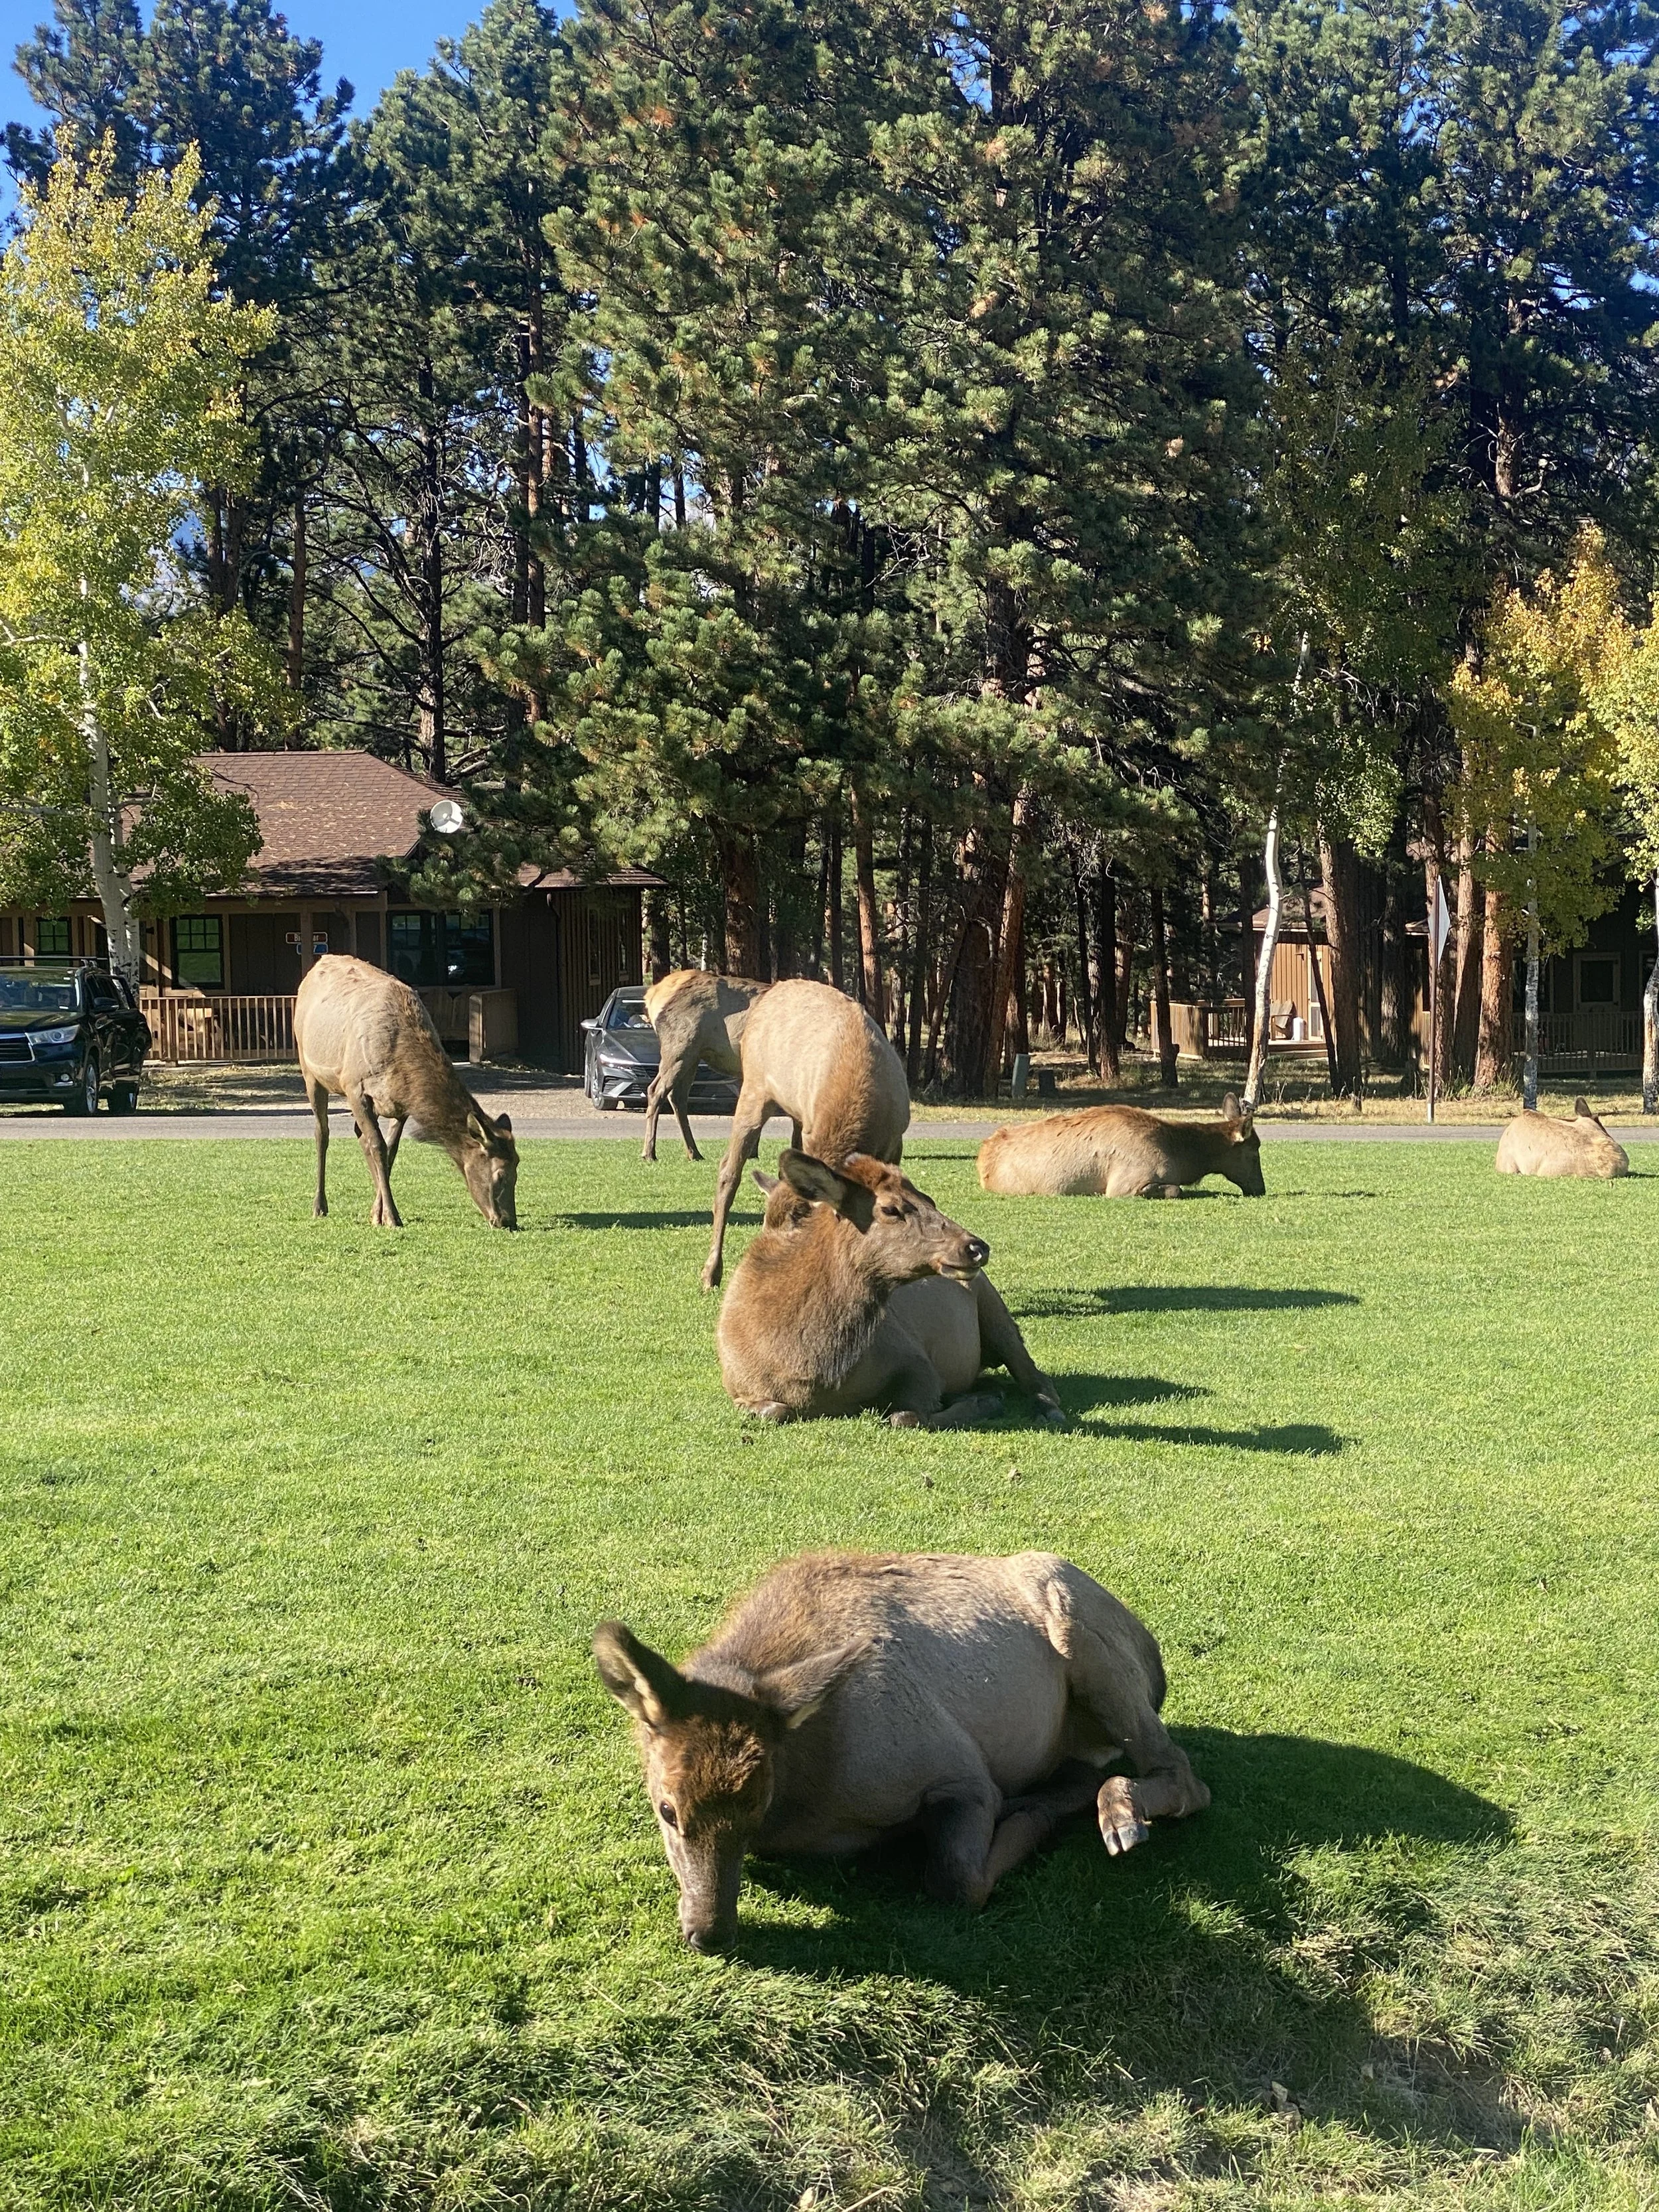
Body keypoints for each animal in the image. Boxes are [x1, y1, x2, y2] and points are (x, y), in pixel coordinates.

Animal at [294, 954, 519, 1229]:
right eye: (500, 1175)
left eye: (518, 1168)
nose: (508, 1221)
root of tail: (318, 964)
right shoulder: (355, 1087)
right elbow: (378, 1146)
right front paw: (392, 1217)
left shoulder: (401, 1104)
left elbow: (389, 1150)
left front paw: (378, 1213)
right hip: (310, 1071)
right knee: (322, 1133)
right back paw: (319, 1206)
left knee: (360, 1135)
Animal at [593, 1549, 1211, 1951]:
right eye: (667, 1809)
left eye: (756, 1806)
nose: (710, 1933)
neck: (810, 1792)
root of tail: (1156, 1656)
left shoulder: (961, 1770)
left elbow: (958, 1879)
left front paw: (1028, 1816)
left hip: (1080, 1629)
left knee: (1187, 1777)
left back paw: (1119, 1814)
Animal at [641, 969, 770, 1164]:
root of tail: (652, 995)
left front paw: (752, 1153)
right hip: (680, 1050)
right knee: (657, 1091)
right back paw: (649, 1153)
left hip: (692, 1057)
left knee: (676, 1096)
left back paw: (693, 1152)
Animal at [716, 1149, 1064, 1428]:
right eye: (890, 1209)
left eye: (930, 1200)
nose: (976, 1247)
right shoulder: (739, 1389)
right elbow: (776, 1411)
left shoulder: (917, 1361)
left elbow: (905, 1416)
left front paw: (983, 1403)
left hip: (995, 1308)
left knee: (1036, 1377)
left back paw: (1045, 1408)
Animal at [977, 1096, 1265, 1199]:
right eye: (1254, 1152)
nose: (1261, 1188)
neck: (1181, 1159)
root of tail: (982, 1159)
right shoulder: (1123, 1186)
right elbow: (1176, 1189)